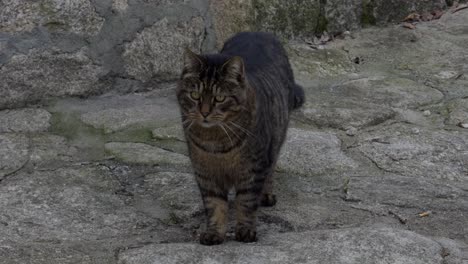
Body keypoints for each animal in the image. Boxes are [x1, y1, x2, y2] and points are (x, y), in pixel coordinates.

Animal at [176, 31, 304, 245]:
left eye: (219, 98)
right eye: (195, 95)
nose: (204, 113)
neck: (216, 142)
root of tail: (258, 32)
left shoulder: (253, 169)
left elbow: (246, 202)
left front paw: (245, 231)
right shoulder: (205, 172)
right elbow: (214, 204)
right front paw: (214, 233)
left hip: (276, 138)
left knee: (271, 168)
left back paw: (266, 195)